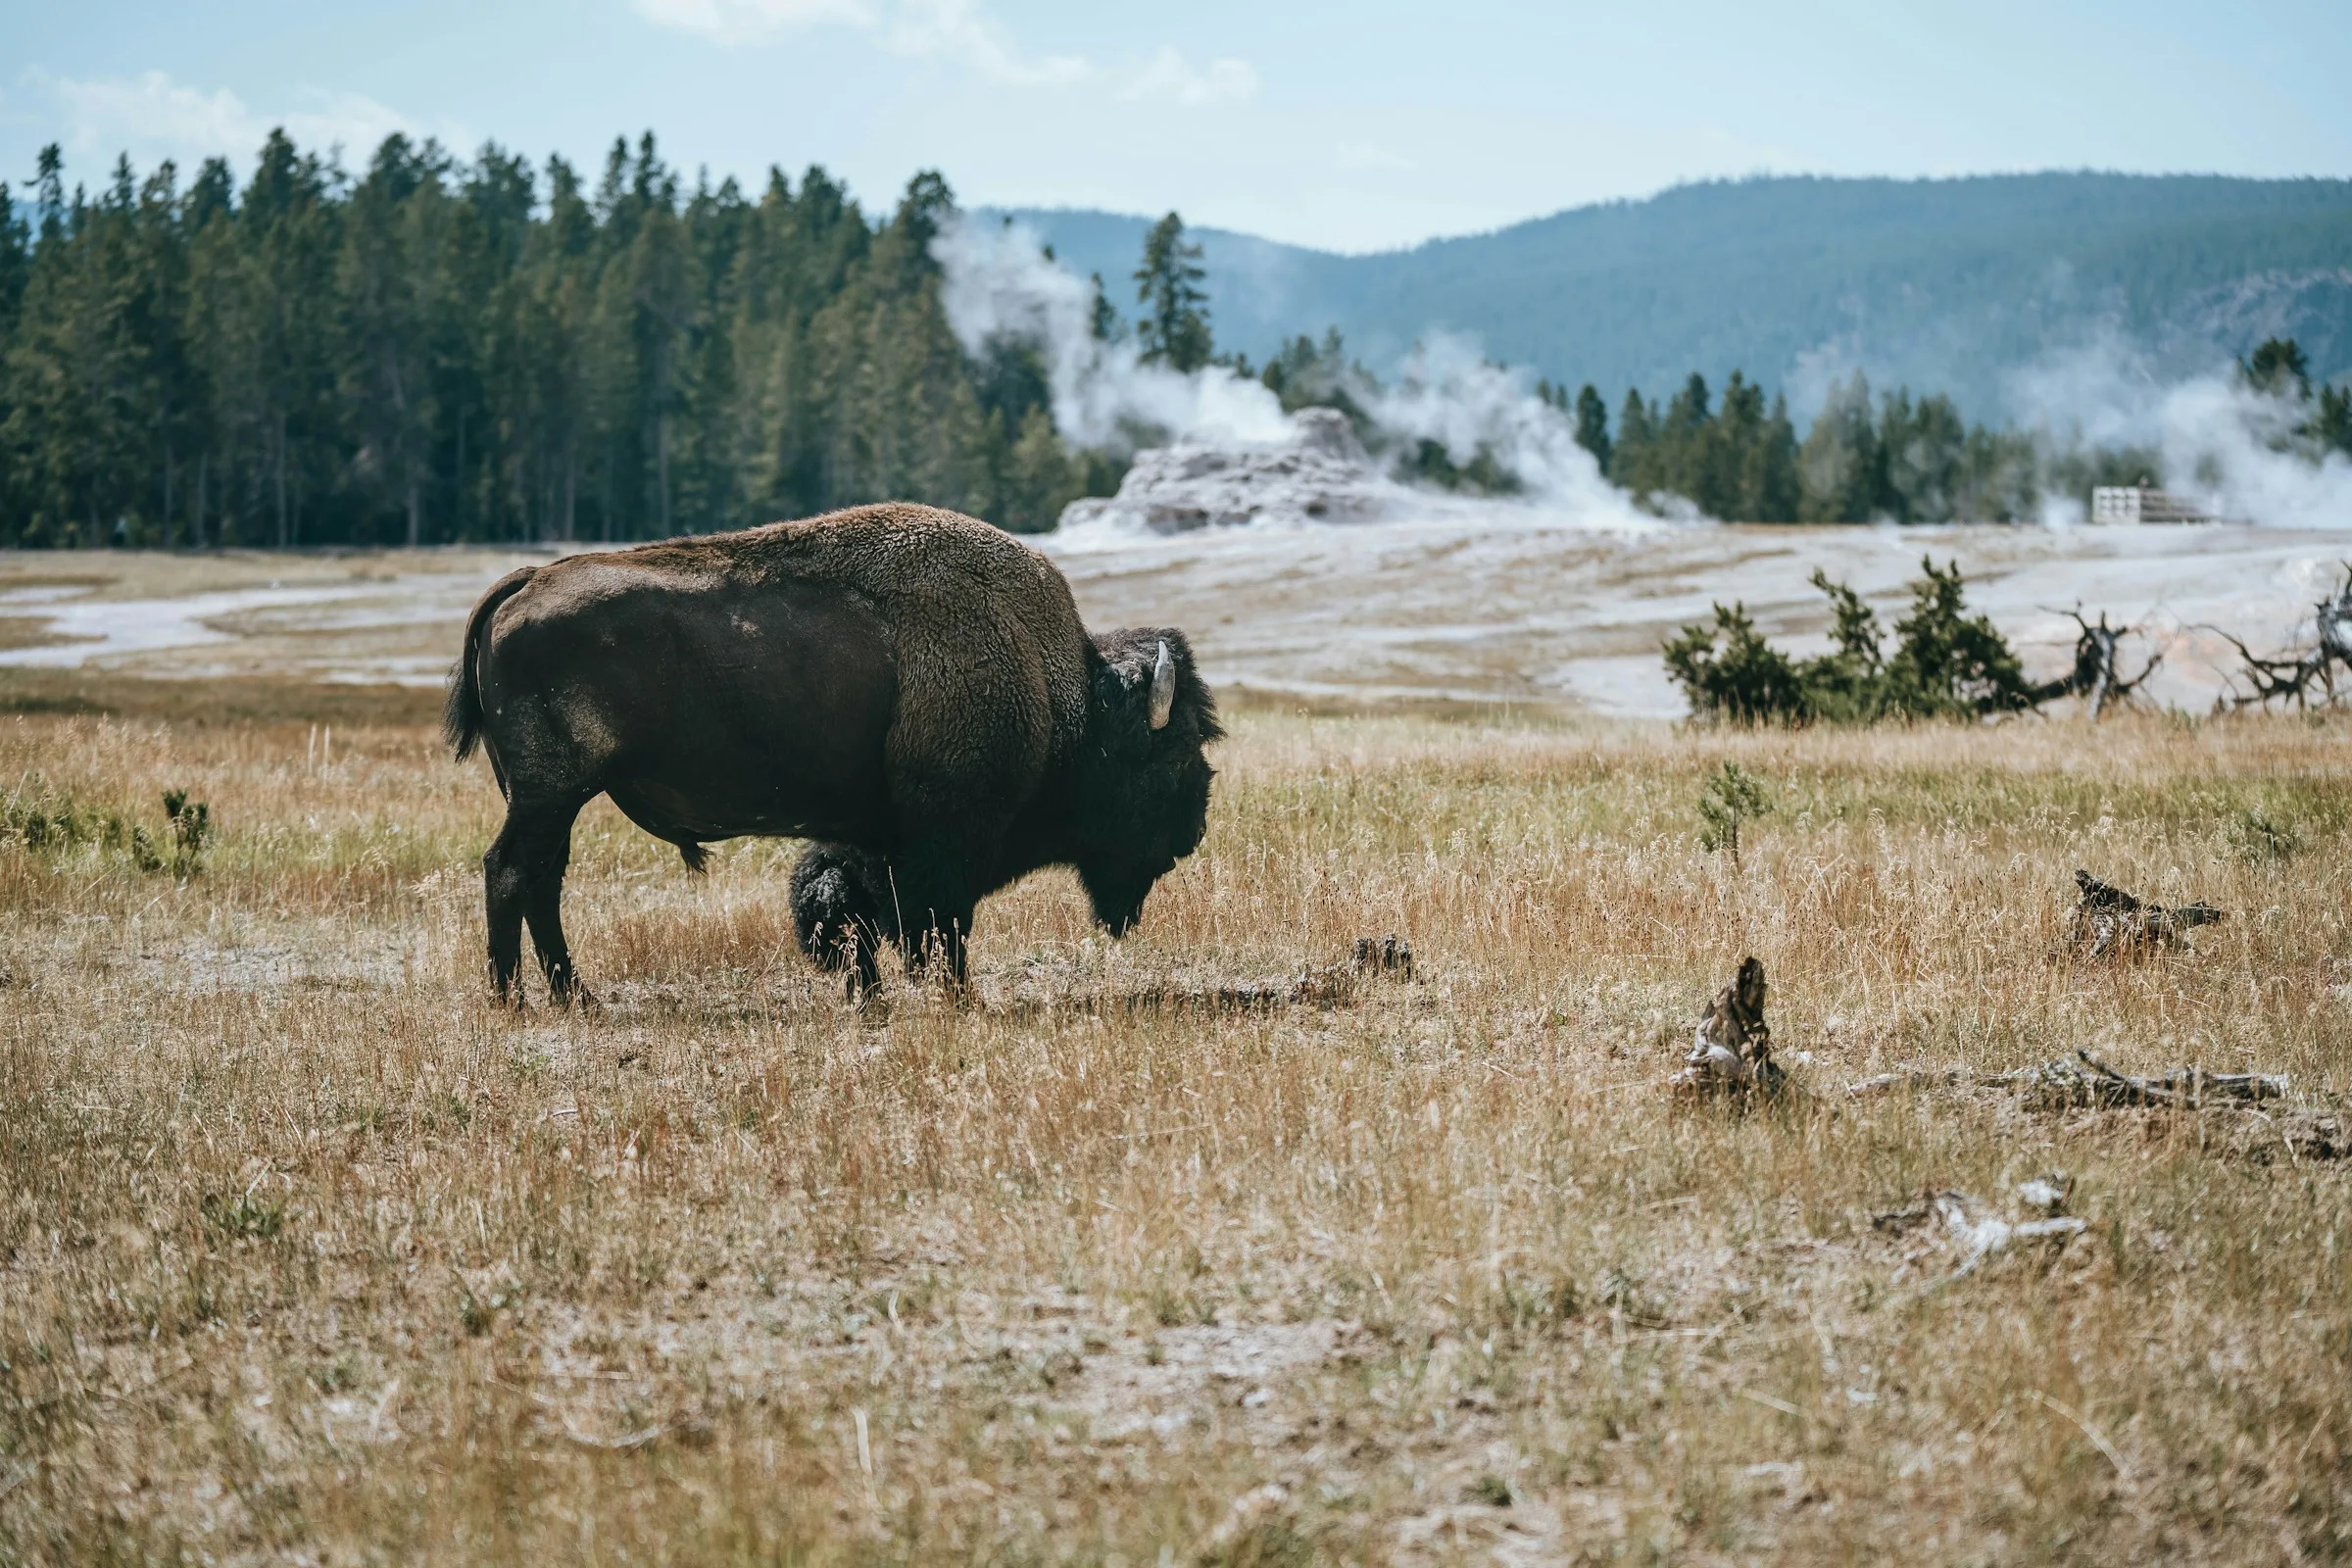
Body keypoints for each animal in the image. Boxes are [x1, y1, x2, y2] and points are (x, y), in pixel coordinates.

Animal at [444, 502, 1220, 1002]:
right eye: (1173, 751)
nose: (1192, 833)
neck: (1063, 692)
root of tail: (523, 583)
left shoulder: (877, 836)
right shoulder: (945, 839)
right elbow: (938, 924)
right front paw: (958, 998)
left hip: (554, 798)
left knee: (543, 879)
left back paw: (573, 995)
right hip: (551, 793)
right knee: (511, 871)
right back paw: (513, 998)